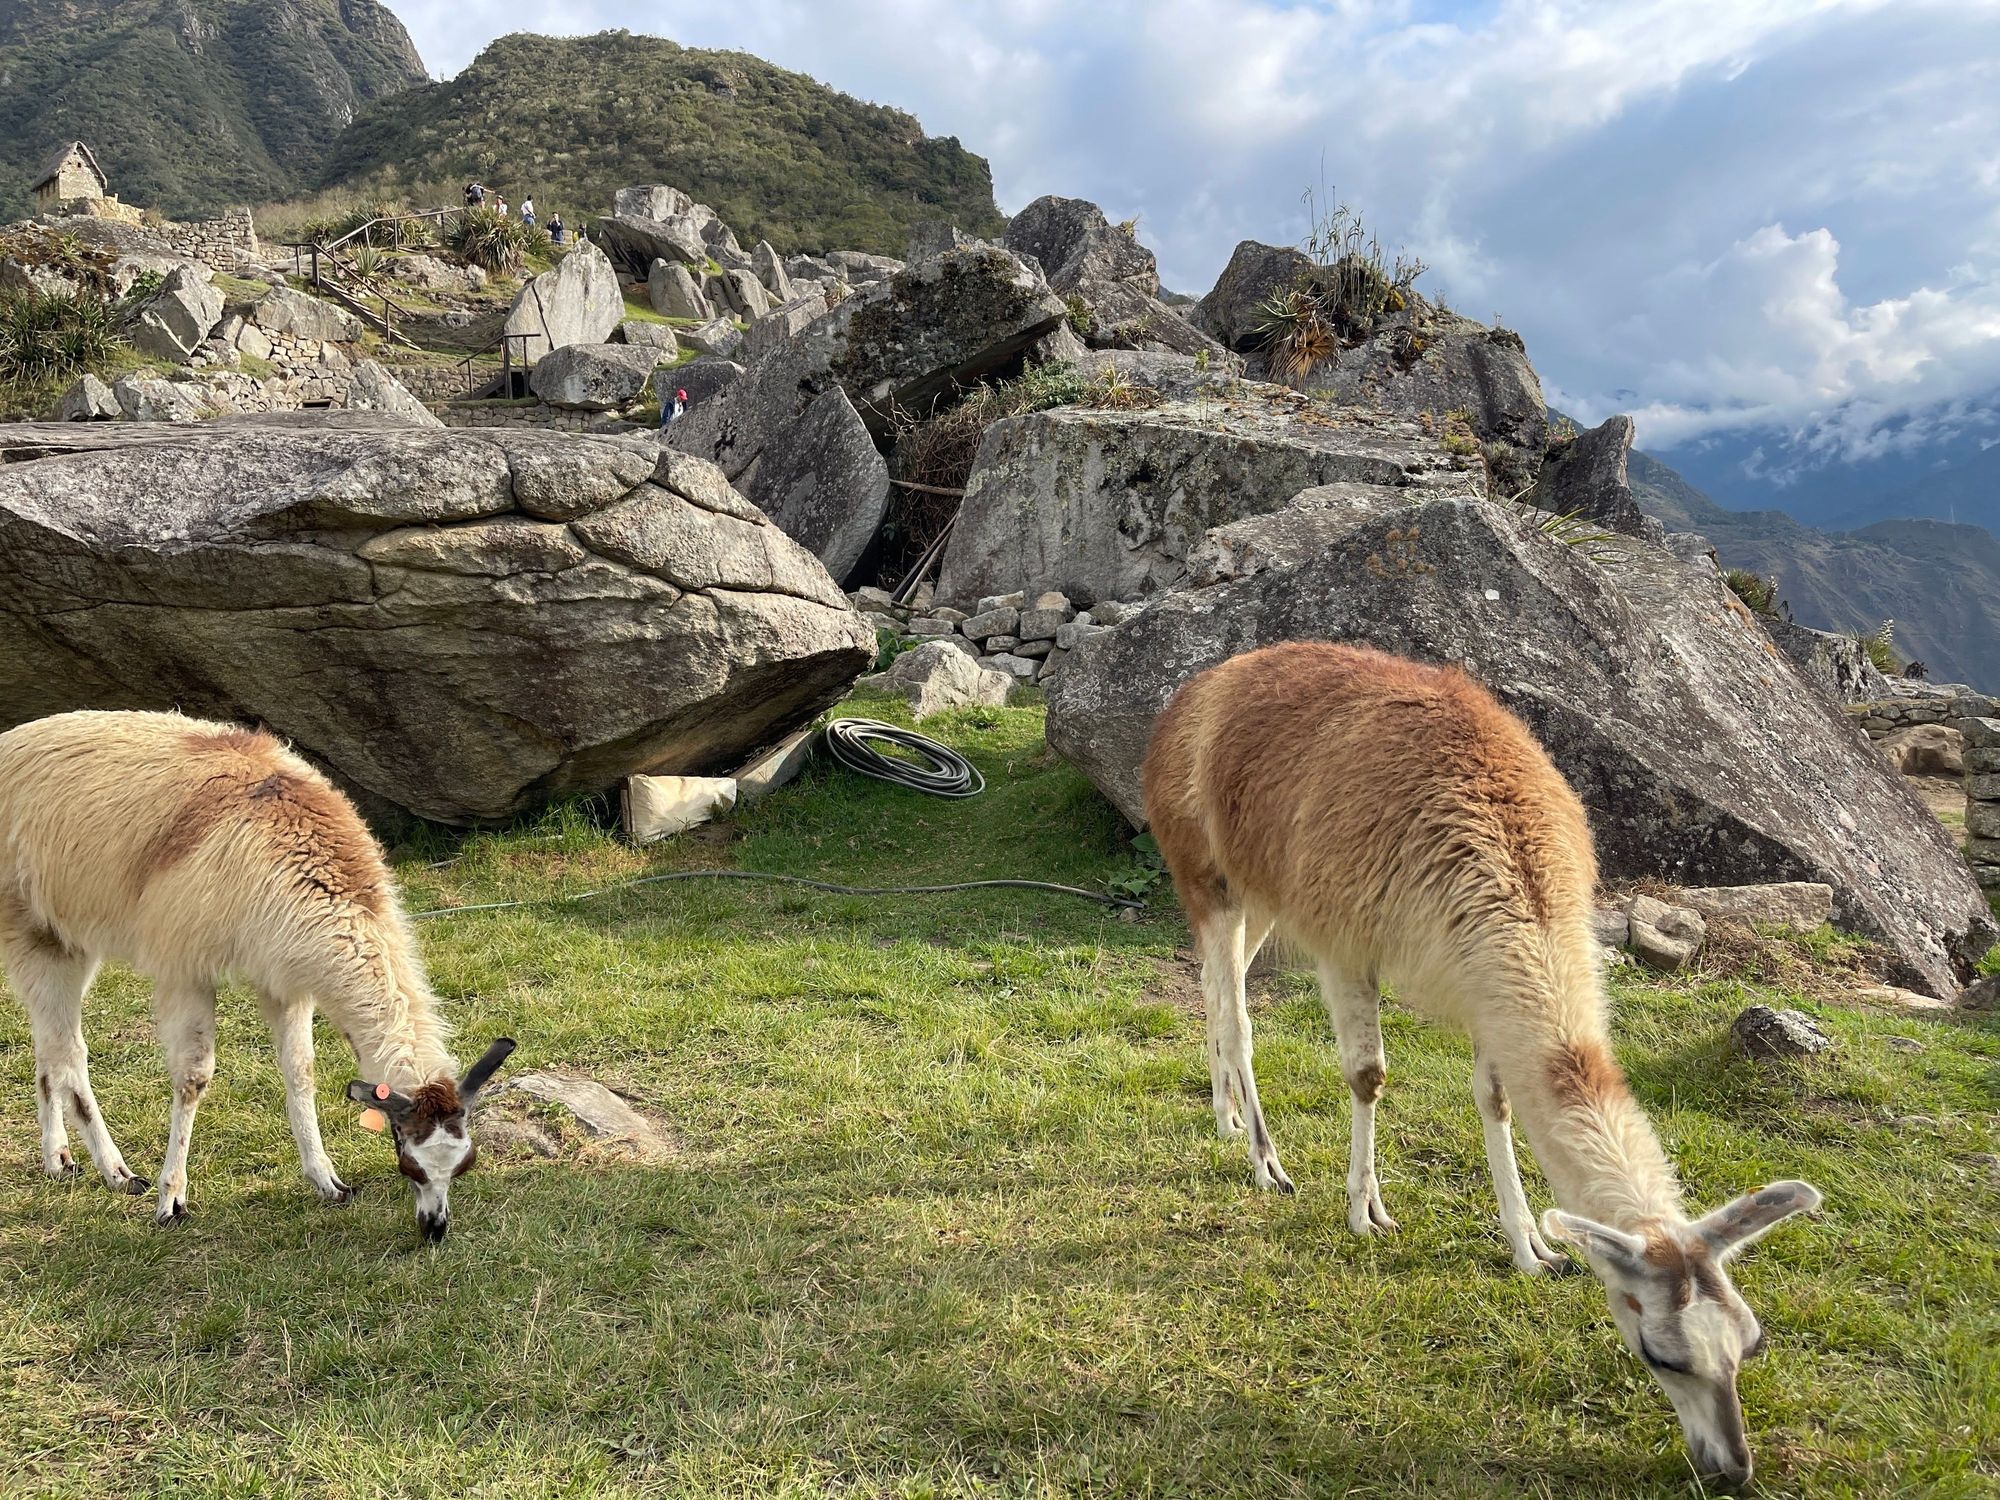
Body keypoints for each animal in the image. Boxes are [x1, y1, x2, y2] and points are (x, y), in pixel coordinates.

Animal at [0, 709, 515, 1242]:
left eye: (464, 1164)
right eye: (410, 1165)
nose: (435, 1227)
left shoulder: (286, 977)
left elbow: (301, 1070)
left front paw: (328, 1181)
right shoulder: (185, 965)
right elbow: (193, 1077)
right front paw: (172, 1200)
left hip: (66, 939)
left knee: (50, 1044)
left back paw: (60, 1160)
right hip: (28, 924)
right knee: (69, 1049)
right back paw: (117, 1172)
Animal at [1142, 641, 1819, 1487]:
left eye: (1750, 1344)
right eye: (1662, 1356)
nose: (1731, 1470)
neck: (1499, 865)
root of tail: (1207, 680)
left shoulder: (1484, 987)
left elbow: (1495, 1100)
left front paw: (1530, 1246)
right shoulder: (1347, 938)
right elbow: (1368, 1077)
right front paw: (1365, 1212)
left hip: (1261, 885)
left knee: (1215, 991)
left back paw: (1227, 1116)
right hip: (1205, 870)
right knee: (1233, 1015)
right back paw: (1265, 1159)